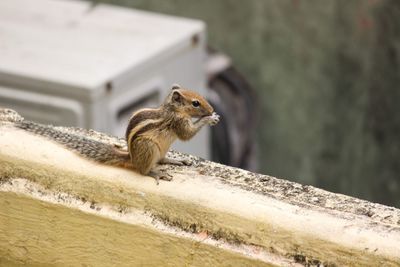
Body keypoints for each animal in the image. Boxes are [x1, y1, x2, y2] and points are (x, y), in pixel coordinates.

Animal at [13, 85, 219, 184]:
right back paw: (156, 173)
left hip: (160, 149)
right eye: (195, 103)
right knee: (143, 171)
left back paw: (174, 160)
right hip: (148, 147)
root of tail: (131, 157)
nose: (211, 109)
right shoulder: (177, 122)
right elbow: (187, 134)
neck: (171, 108)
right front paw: (209, 119)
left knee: (161, 159)